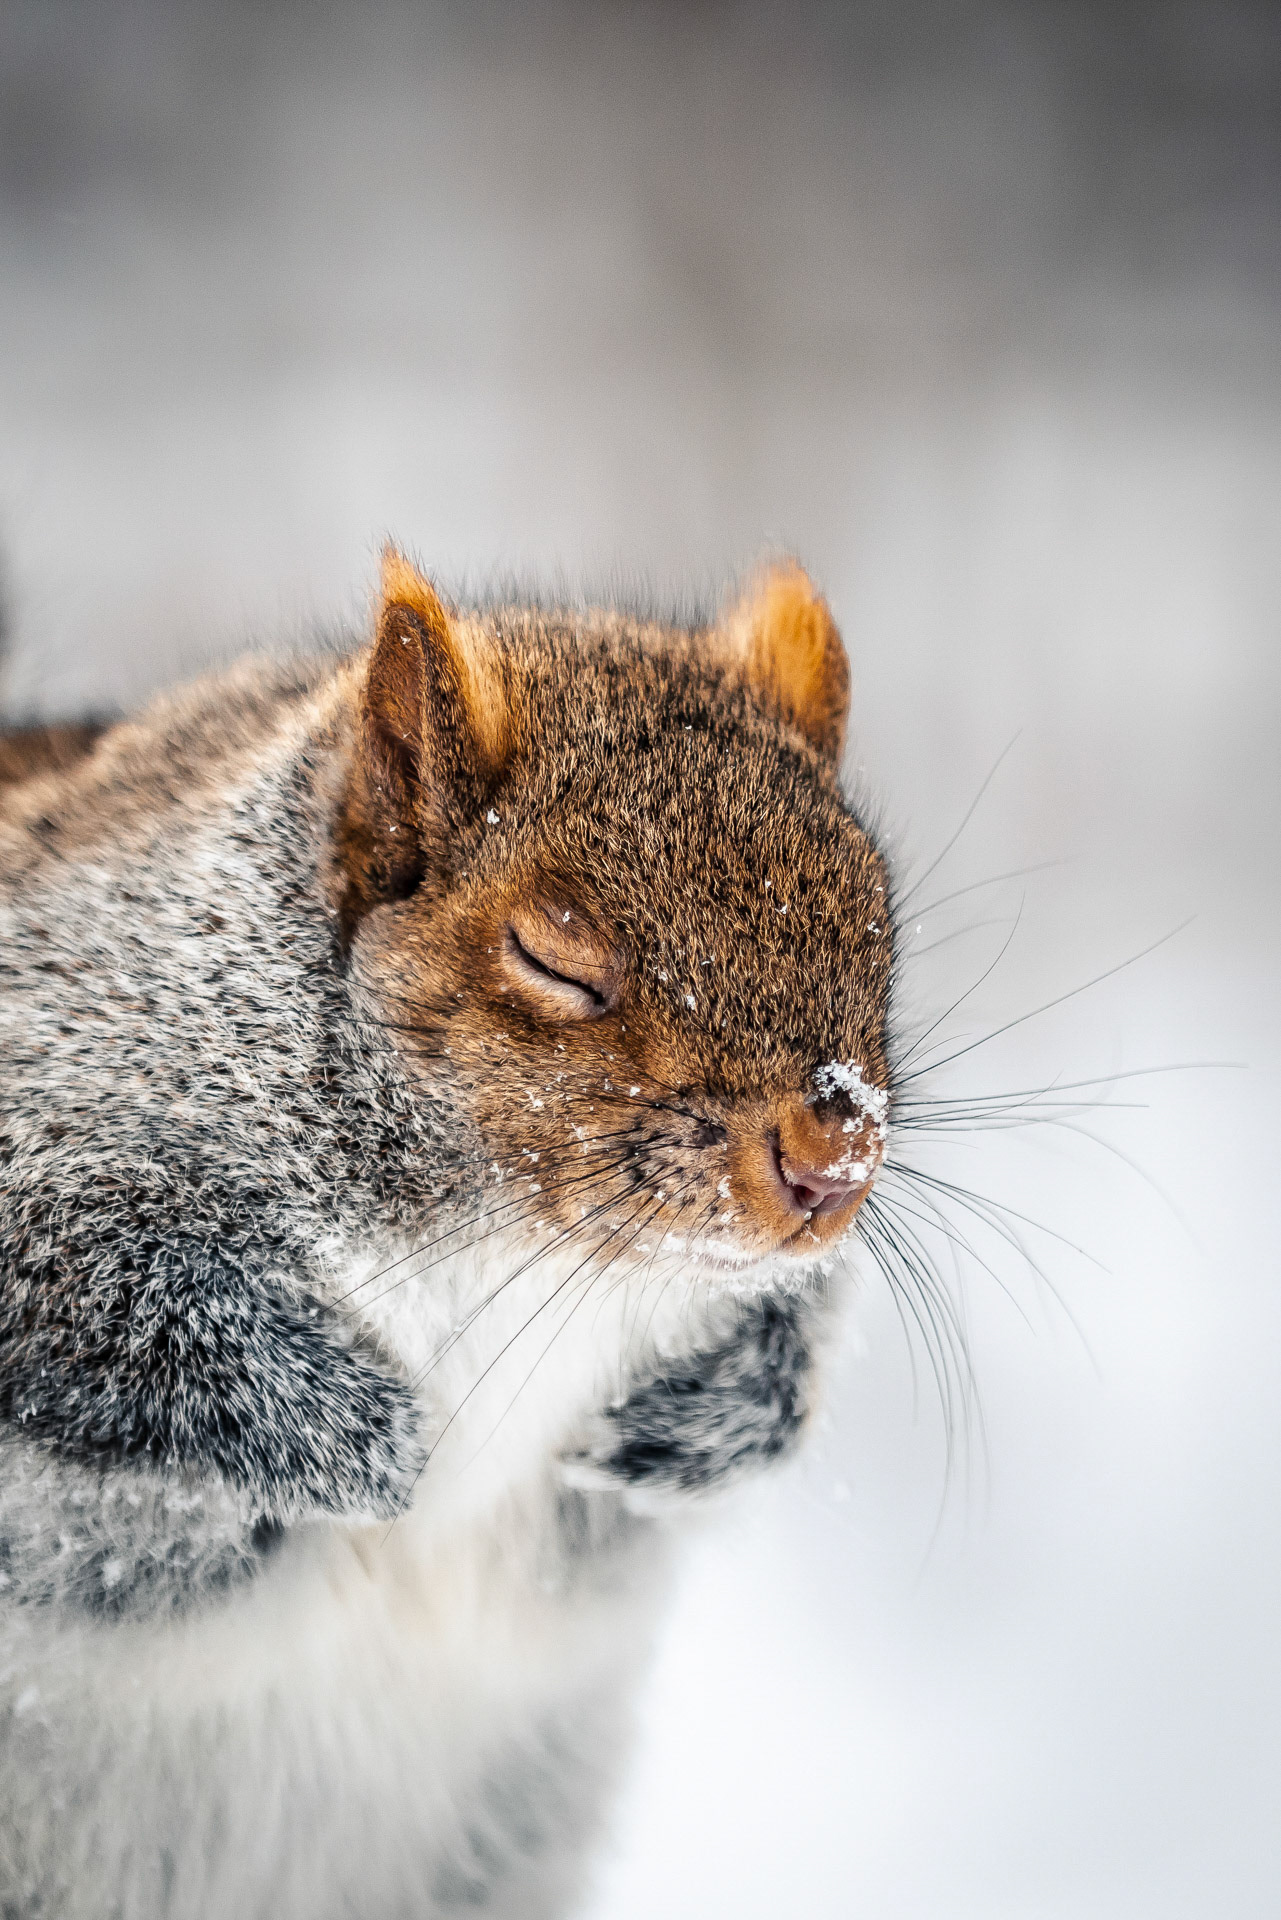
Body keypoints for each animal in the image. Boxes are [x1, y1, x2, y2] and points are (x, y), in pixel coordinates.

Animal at [0, 550, 894, 1920]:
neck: (530, 1248)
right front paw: (362, 1436)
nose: (834, 1161)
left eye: (879, 915)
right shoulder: (56, 1081)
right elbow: (92, 1295)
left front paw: (715, 1413)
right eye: (555, 957)